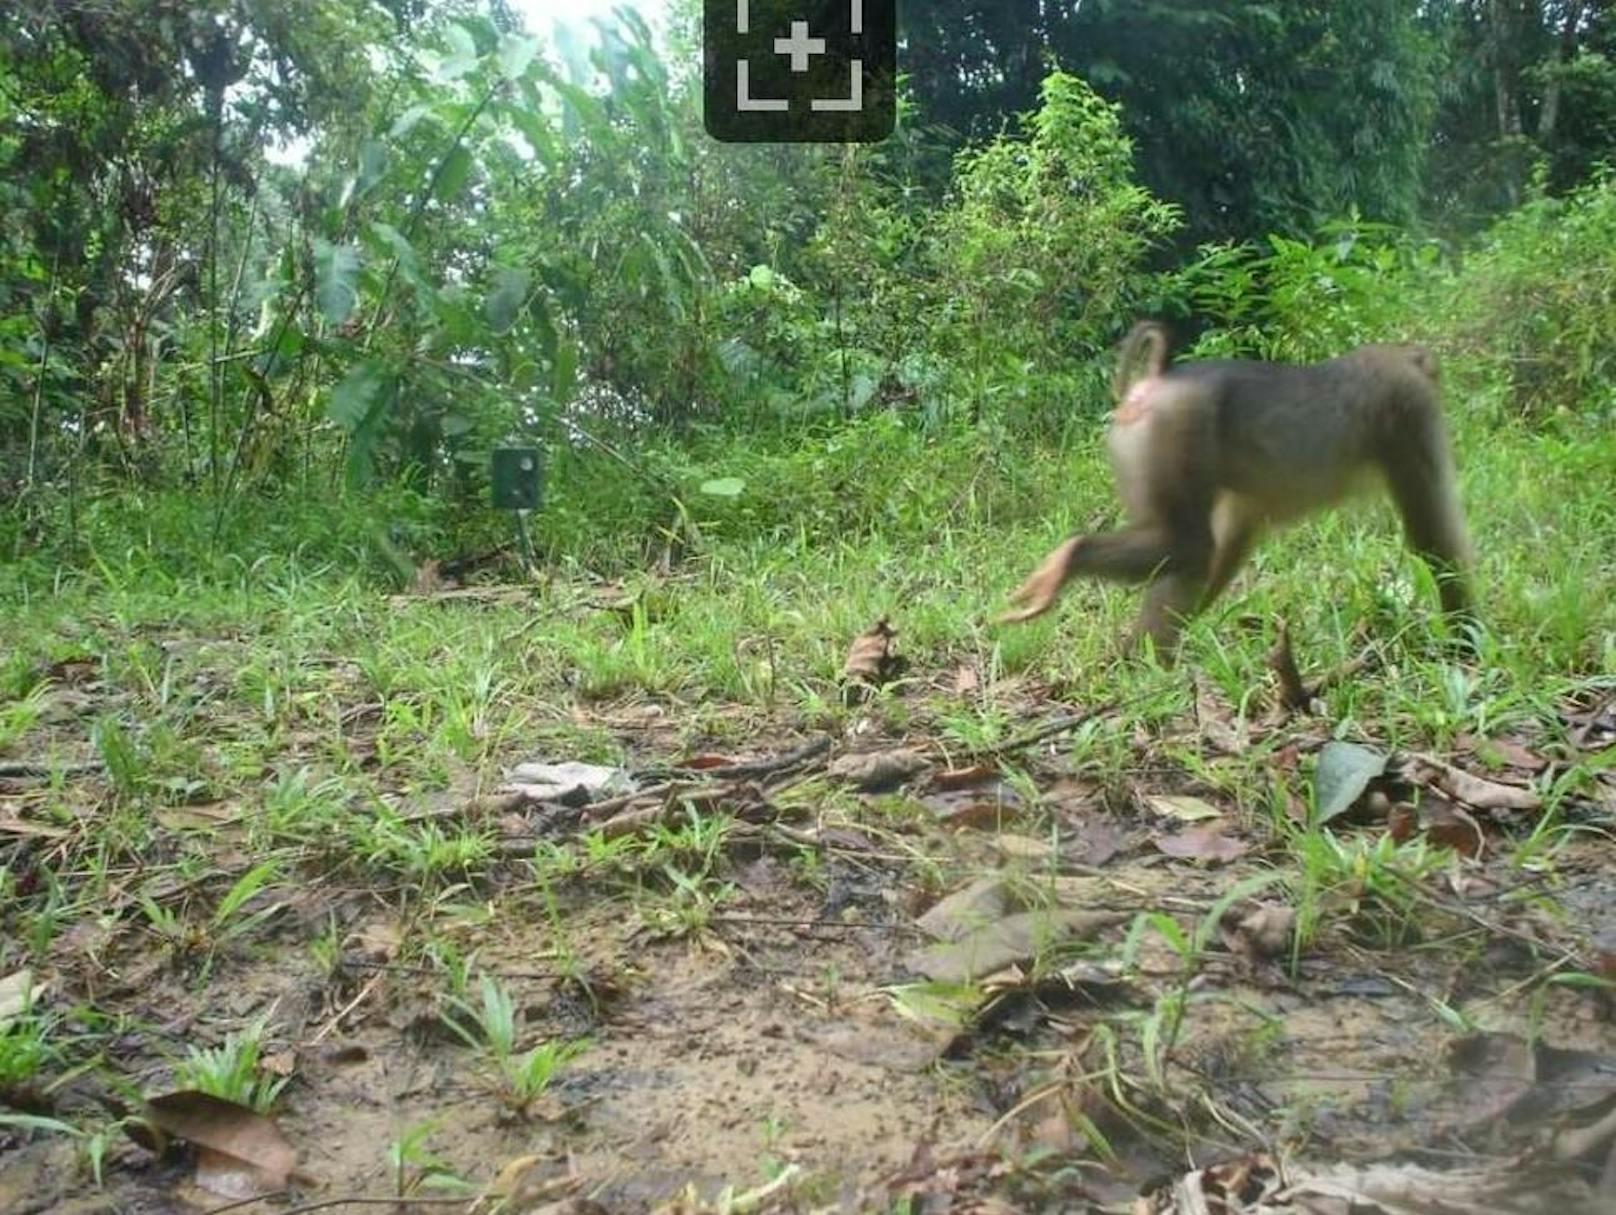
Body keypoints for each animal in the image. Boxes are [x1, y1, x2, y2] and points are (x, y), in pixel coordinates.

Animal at [988, 323, 1473, 655]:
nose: (1440, 377)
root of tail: (1154, 385)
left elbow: (1234, 541)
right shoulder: (1410, 409)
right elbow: (1435, 539)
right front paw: (1466, 641)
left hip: (1143, 444)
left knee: (1193, 552)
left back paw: (1141, 660)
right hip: (1176, 429)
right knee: (1189, 546)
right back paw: (1074, 558)